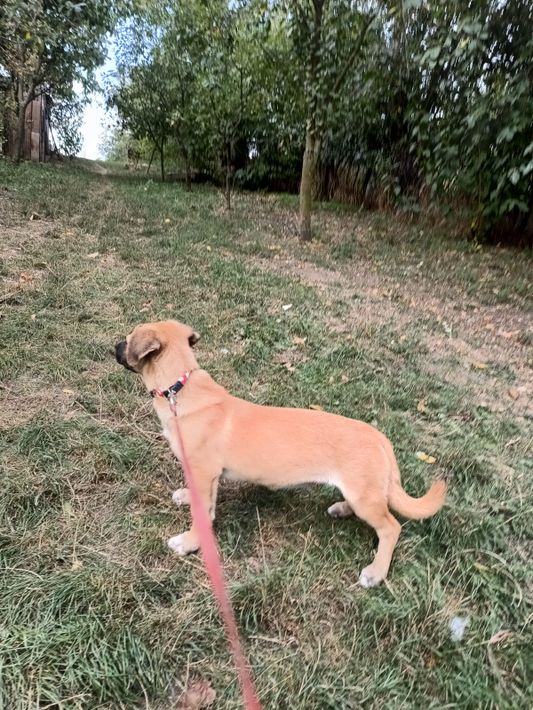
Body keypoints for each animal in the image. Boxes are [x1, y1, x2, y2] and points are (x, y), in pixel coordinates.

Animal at [115, 320, 446, 587]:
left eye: (128, 339)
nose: (113, 346)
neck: (180, 390)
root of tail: (379, 438)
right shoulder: (207, 476)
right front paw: (187, 497)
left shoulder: (204, 472)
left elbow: (202, 514)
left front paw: (189, 543)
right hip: (362, 491)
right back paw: (342, 508)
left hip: (367, 498)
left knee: (390, 527)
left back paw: (376, 572)